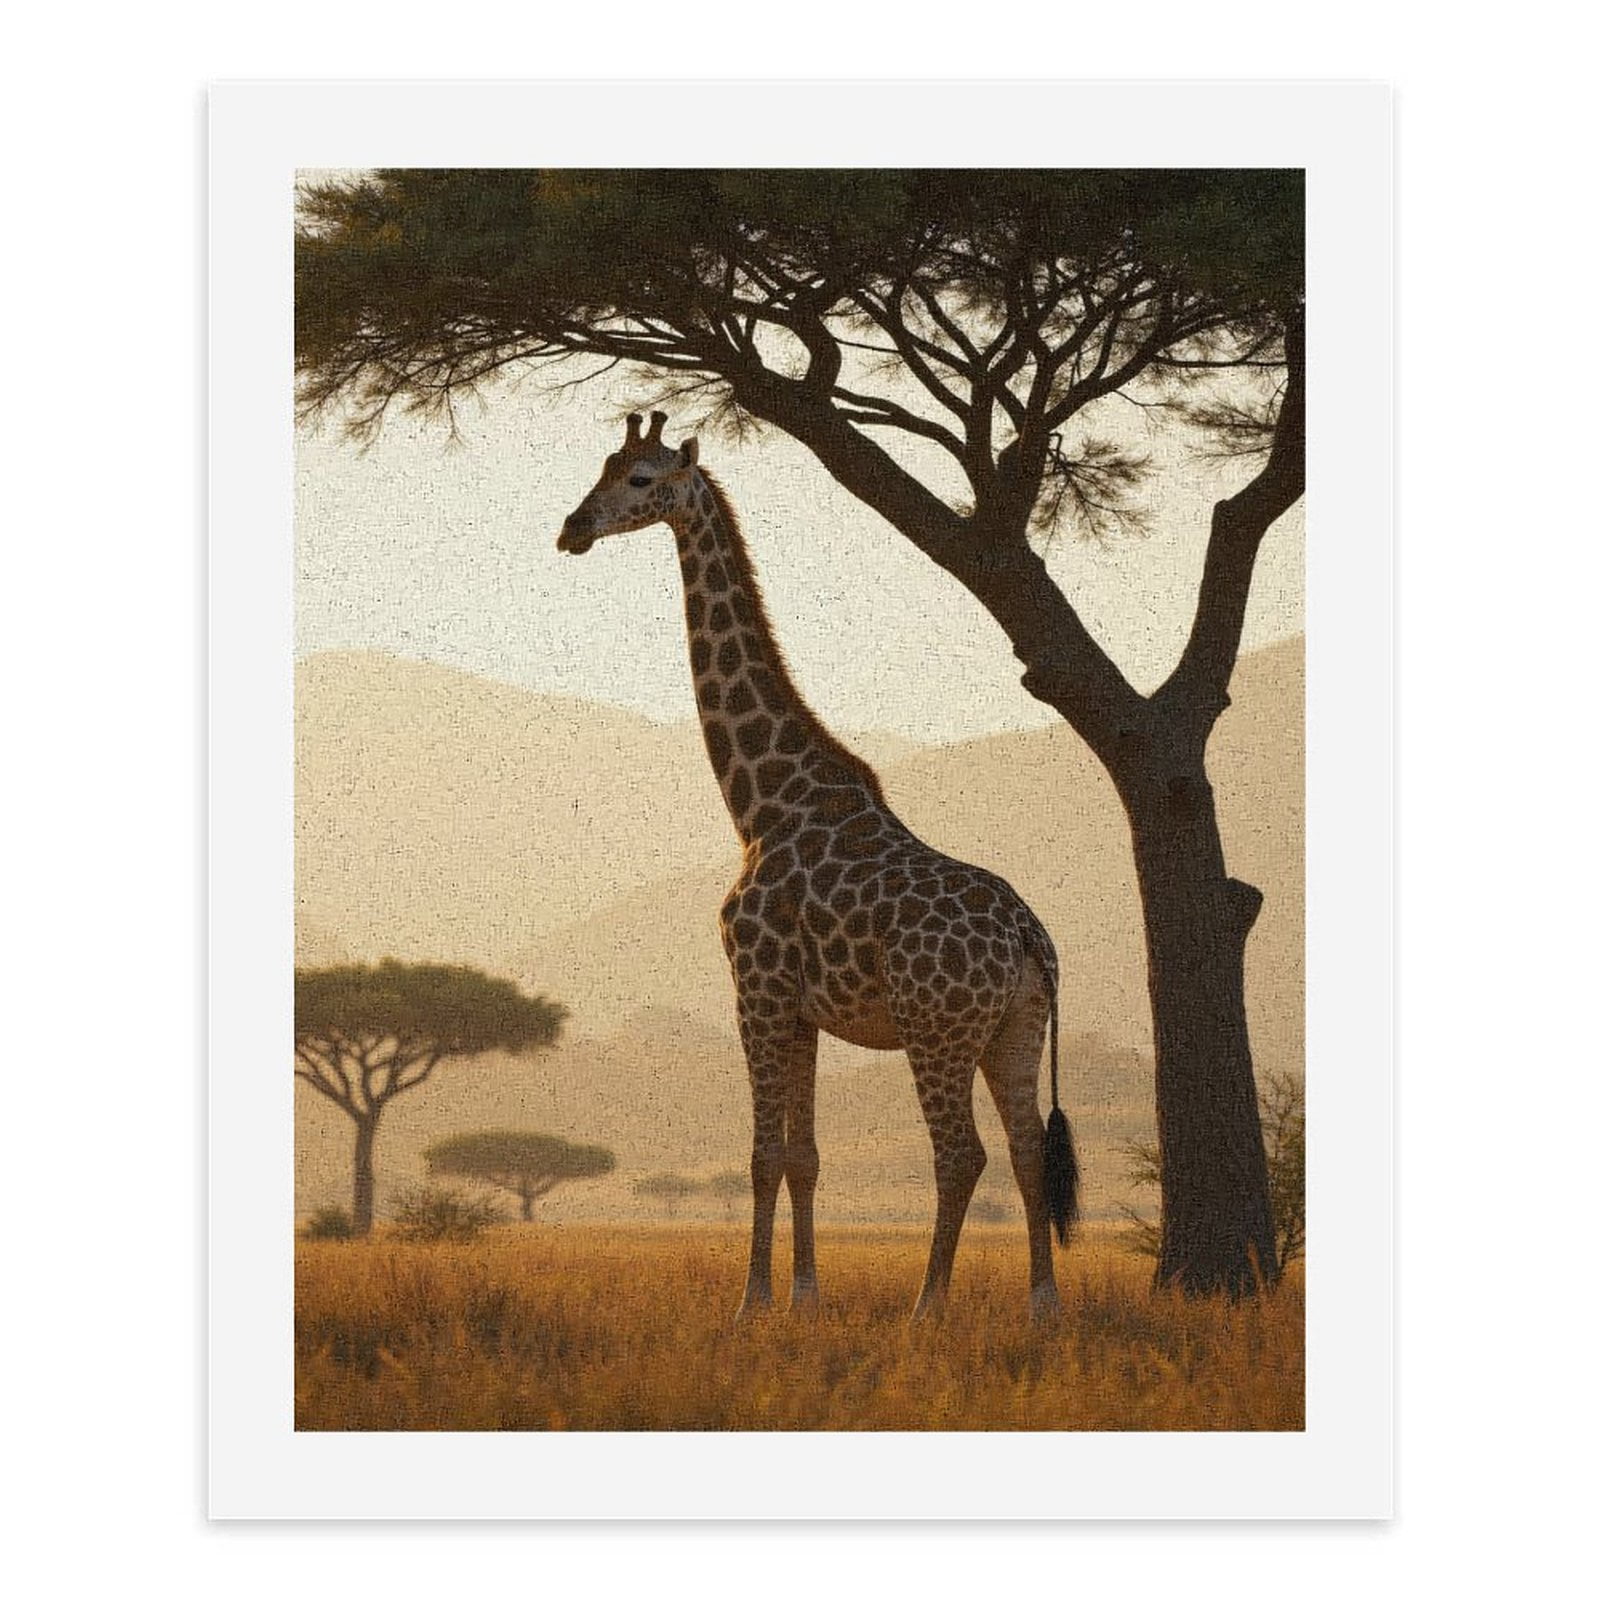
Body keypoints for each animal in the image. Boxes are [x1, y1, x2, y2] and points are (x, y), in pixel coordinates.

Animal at [557, 412, 1080, 1319]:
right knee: (1023, 1150)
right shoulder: (800, 1009)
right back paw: (1042, 1306)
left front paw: (752, 1302)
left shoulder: (755, 991)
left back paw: (927, 1306)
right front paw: (805, 1295)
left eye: (642, 479)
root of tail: (1027, 937)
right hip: (1016, 1027)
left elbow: (764, 1155)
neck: (762, 802)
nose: (572, 529)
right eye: (605, 465)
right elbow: (804, 1158)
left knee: (962, 1155)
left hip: (936, 1030)